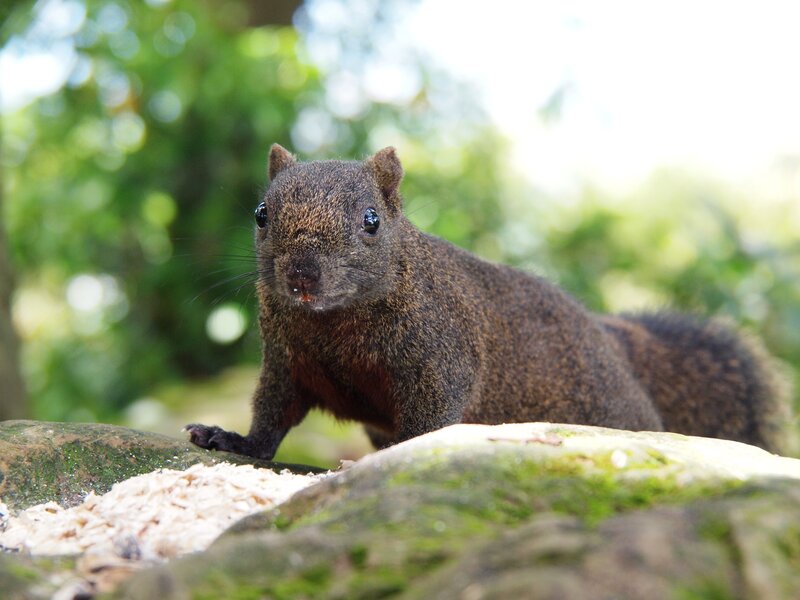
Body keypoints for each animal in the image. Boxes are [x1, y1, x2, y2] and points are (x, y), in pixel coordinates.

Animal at [186, 144, 793, 459]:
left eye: (371, 221)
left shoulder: (441, 353)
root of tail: (613, 342)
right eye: (261, 213)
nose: (301, 276)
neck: (333, 323)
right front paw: (230, 438)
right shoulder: (288, 362)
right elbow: (272, 415)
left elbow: (434, 415)